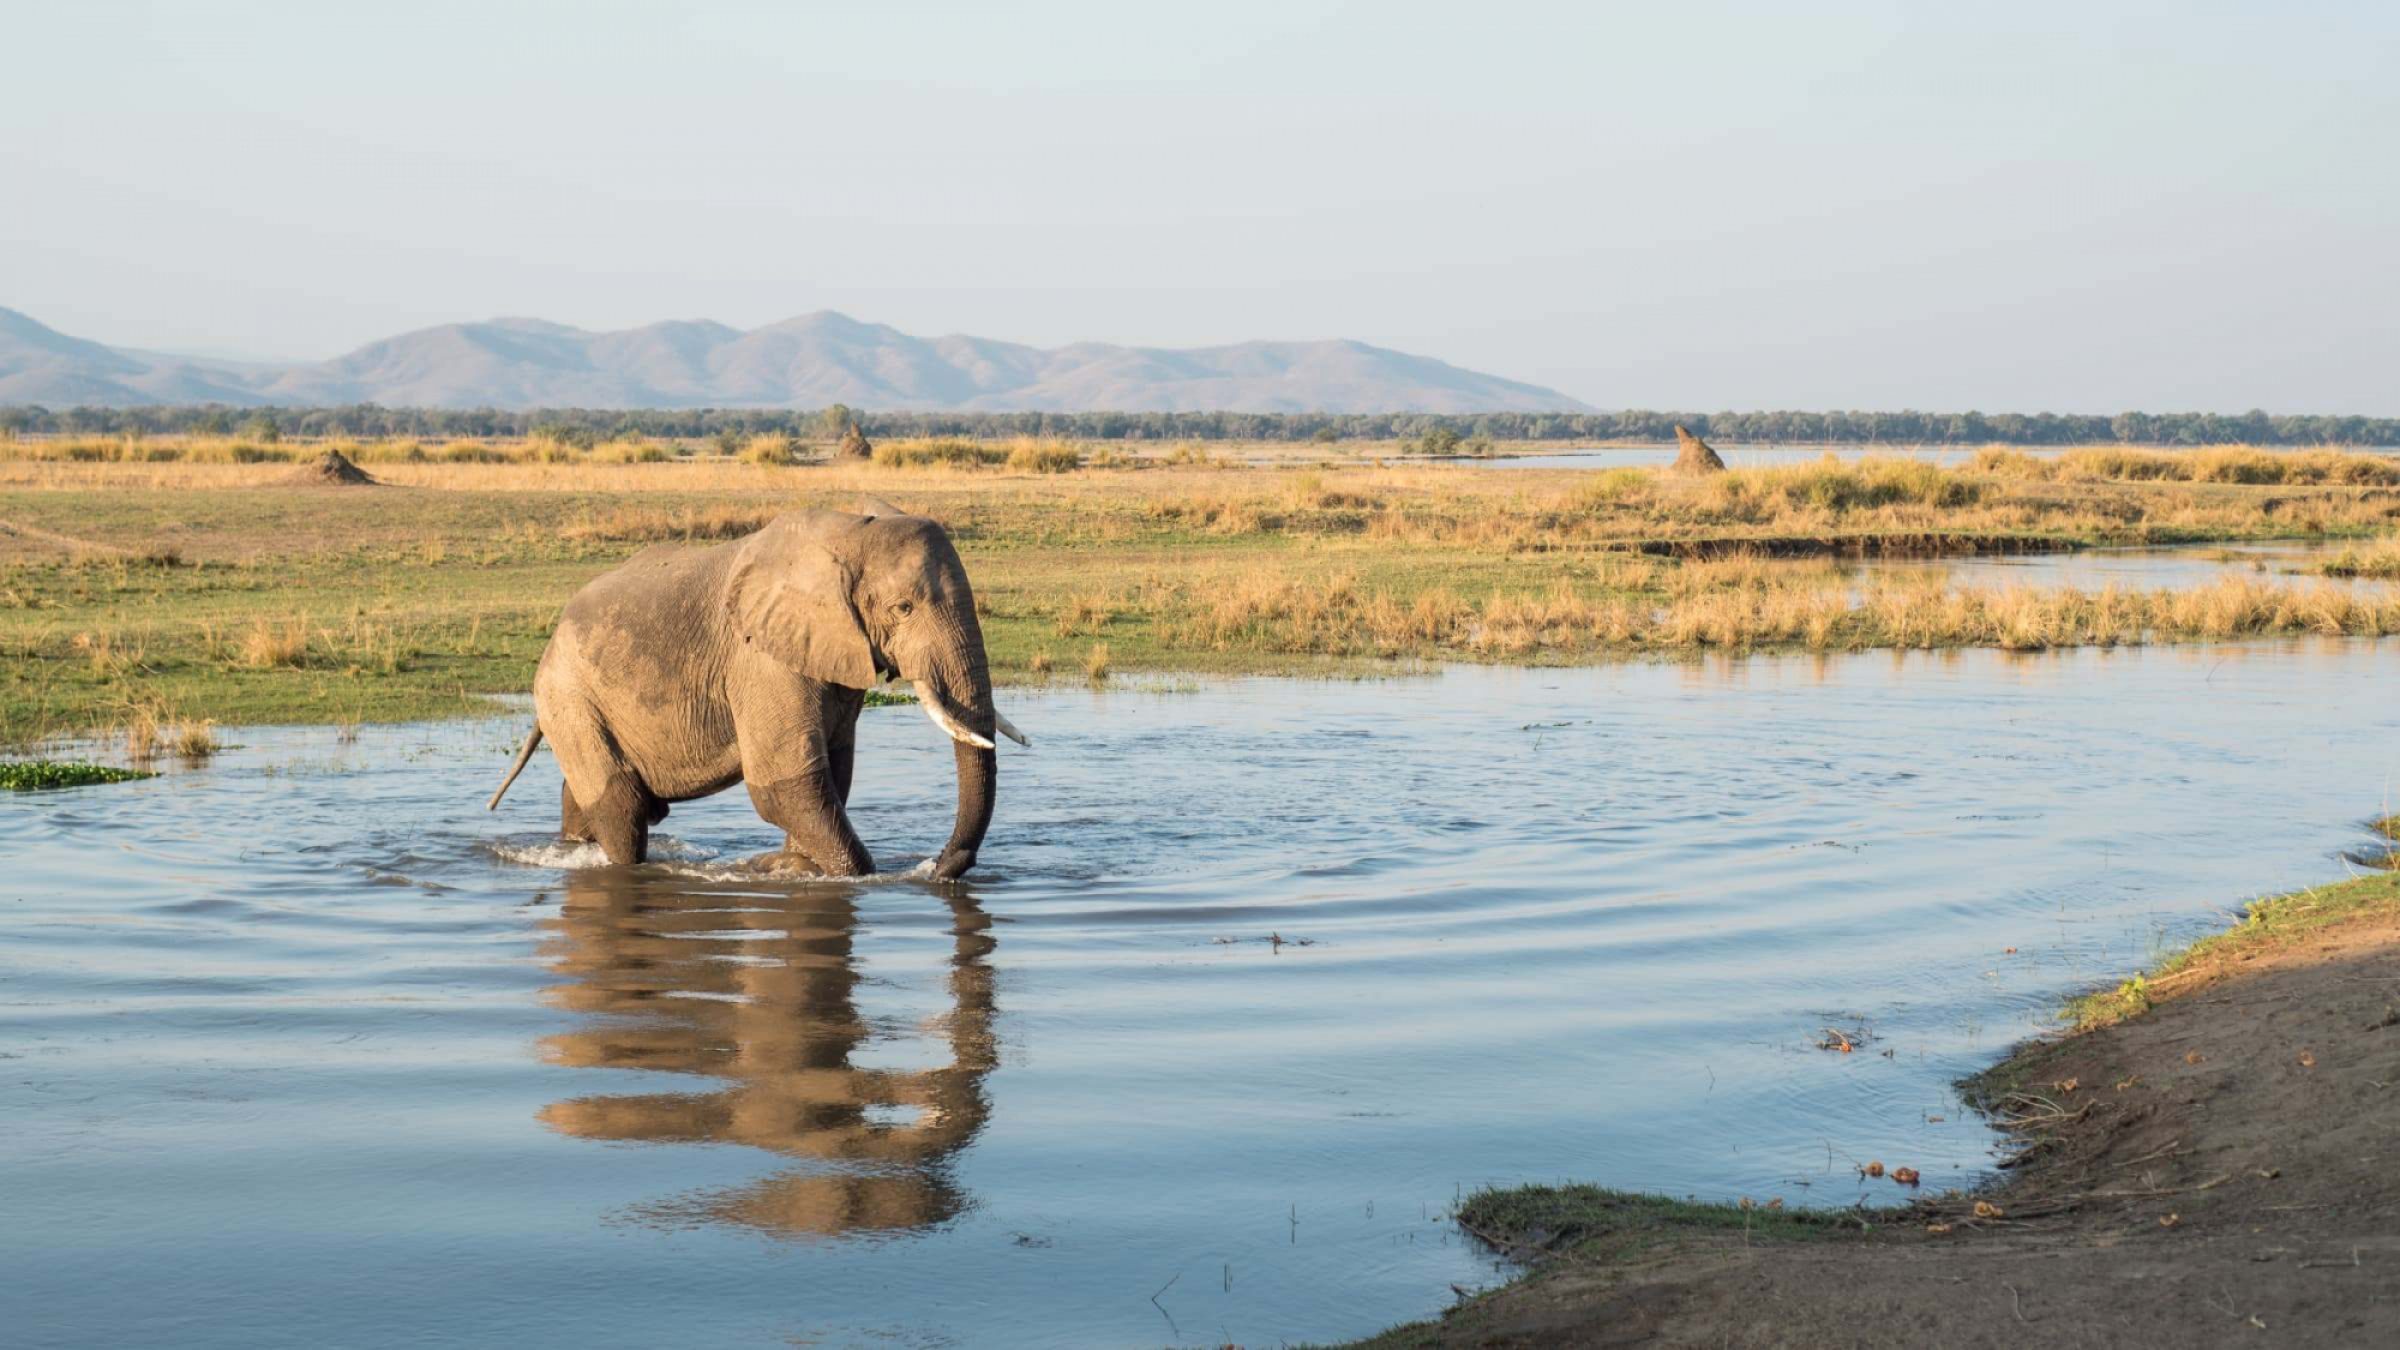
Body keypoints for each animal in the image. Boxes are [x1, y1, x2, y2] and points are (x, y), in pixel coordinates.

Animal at [482, 494, 1017, 874]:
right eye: (903, 608)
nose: (940, 866)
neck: (847, 532)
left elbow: (833, 773)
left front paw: (792, 867)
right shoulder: (760, 661)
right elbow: (785, 785)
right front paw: (859, 875)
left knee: (586, 799)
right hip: (569, 696)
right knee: (622, 810)